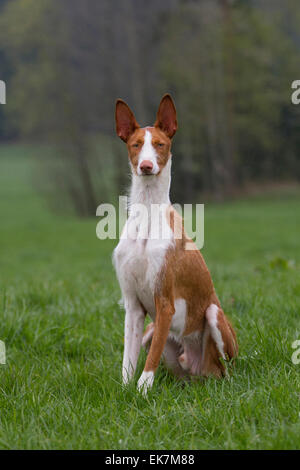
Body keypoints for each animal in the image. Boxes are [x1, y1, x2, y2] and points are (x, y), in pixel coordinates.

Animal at [112, 93, 237, 394]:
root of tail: (199, 371)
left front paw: (143, 391)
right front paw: (125, 391)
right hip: (155, 334)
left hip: (214, 316)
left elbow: (152, 357)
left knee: (226, 370)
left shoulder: (165, 303)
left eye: (160, 144)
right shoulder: (133, 307)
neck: (146, 219)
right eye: (135, 144)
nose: (146, 166)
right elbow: (128, 360)